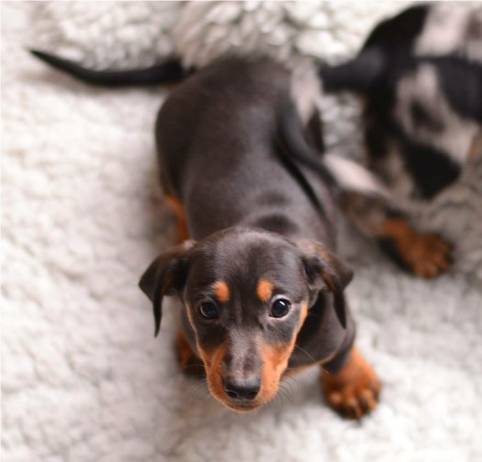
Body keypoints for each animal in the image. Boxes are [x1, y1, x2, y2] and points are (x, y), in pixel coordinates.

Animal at [31, 51, 380, 418]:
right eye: (207, 309)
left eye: (280, 307)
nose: (241, 389)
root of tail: (213, 67)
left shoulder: (338, 329)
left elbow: (341, 355)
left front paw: (353, 385)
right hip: (167, 166)